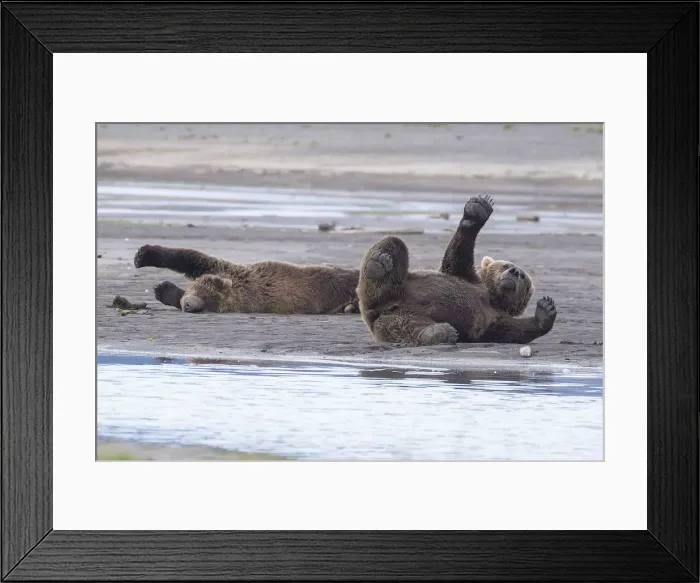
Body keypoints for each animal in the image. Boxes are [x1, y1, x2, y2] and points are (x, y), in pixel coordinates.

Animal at [356, 195, 557, 346]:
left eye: (523, 276)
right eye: (506, 265)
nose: (514, 272)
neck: (492, 297)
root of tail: (374, 309)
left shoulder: (492, 319)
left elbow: (510, 331)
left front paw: (545, 310)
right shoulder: (465, 276)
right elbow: (457, 258)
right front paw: (477, 211)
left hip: (395, 317)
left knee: (408, 325)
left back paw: (437, 333)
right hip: (394, 286)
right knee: (394, 242)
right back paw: (378, 264)